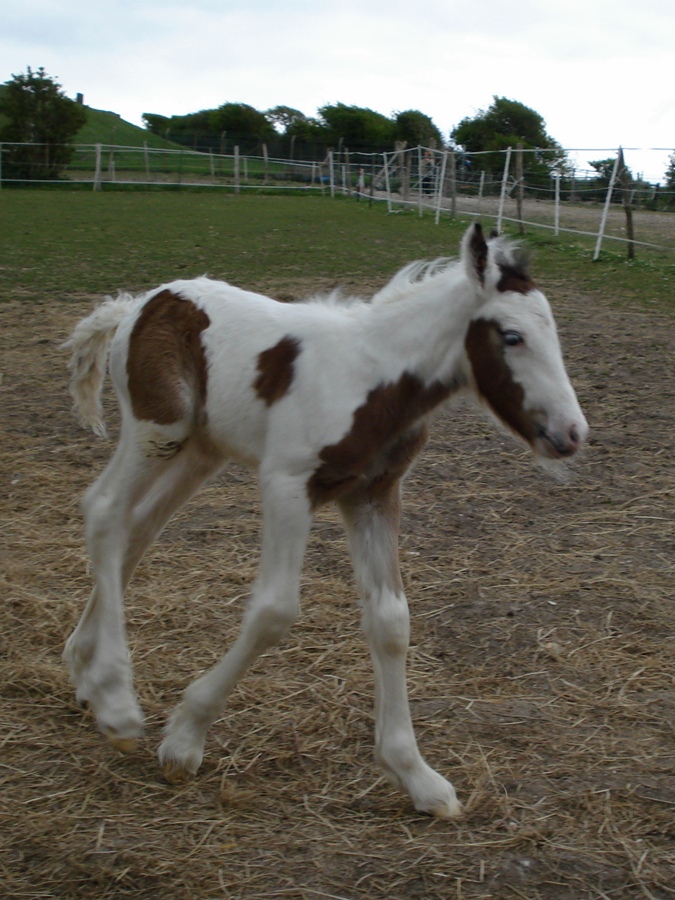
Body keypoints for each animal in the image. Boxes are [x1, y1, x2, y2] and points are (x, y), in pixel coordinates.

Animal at [62, 223, 587, 818]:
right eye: (513, 336)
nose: (572, 433)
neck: (373, 379)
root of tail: (140, 302)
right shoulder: (288, 486)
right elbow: (274, 612)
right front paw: (185, 739)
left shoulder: (373, 496)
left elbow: (390, 621)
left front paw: (417, 776)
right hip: (158, 429)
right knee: (105, 512)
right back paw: (116, 704)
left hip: (200, 451)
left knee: (138, 529)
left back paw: (84, 671)